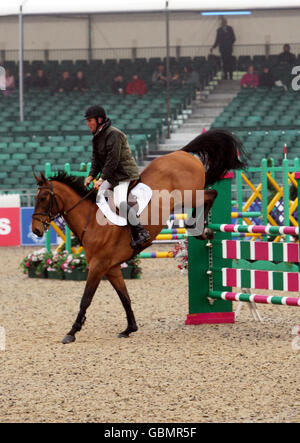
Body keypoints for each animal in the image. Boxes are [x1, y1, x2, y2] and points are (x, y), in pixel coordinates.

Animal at [32, 128, 246, 344]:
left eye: (43, 198)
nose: (36, 230)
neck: (91, 221)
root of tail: (181, 153)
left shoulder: (98, 267)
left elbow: (86, 299)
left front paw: (72, 331)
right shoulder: (112, 268)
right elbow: (125, 298)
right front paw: (129, 328)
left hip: (190, 194)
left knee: (212, 193)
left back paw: (198, 227)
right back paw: (202, 230)